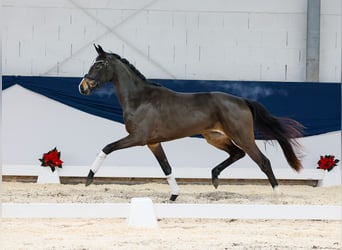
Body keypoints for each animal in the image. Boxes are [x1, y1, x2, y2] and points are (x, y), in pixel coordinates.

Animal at [79, 44, 304, 201]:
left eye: (99, 64)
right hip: (215, 137)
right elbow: (167, 168)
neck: (140, 99)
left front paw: (89, 178)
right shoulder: (153, 143)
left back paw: (278, 195)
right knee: (237, 153)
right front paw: (174, 196)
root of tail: (243, 101)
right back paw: (214, 178)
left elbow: (107, 147)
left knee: (263, 161)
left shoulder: (137, 138)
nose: (83, 86)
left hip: (242, 136)